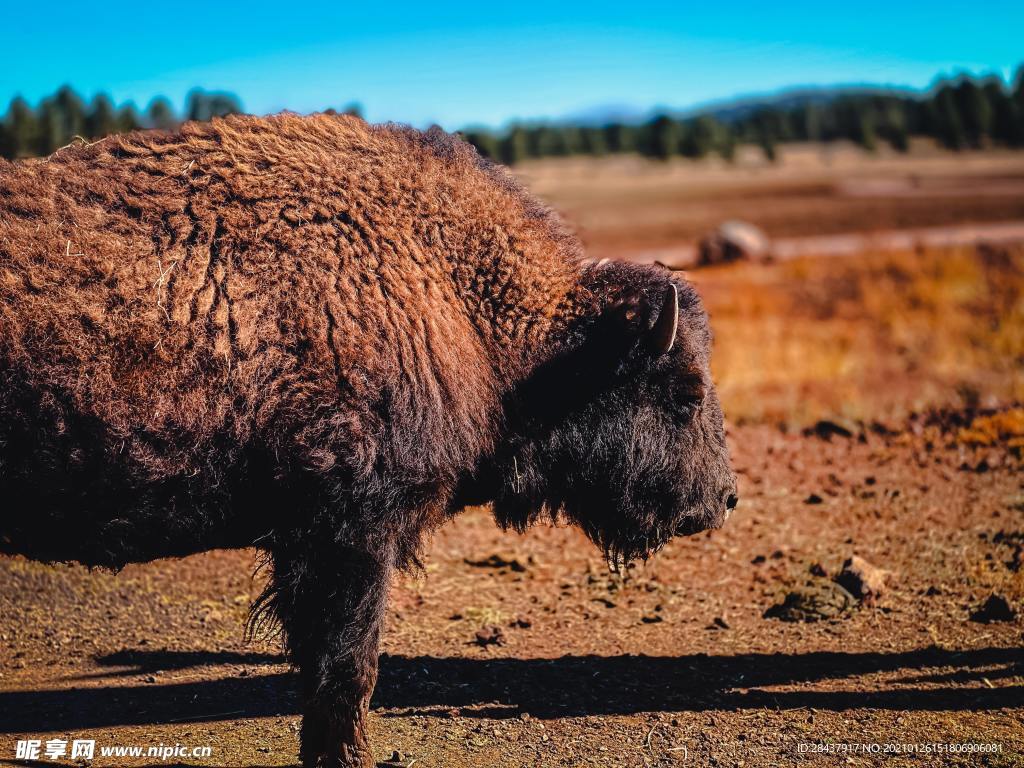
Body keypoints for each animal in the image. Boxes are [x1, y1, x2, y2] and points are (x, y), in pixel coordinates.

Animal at [0, 115, 737, 768]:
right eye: (685, 390)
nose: (723, 500)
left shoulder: (308, 542)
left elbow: (321, 664)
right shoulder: (352, 530)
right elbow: (349, 663)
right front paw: (350, 757)